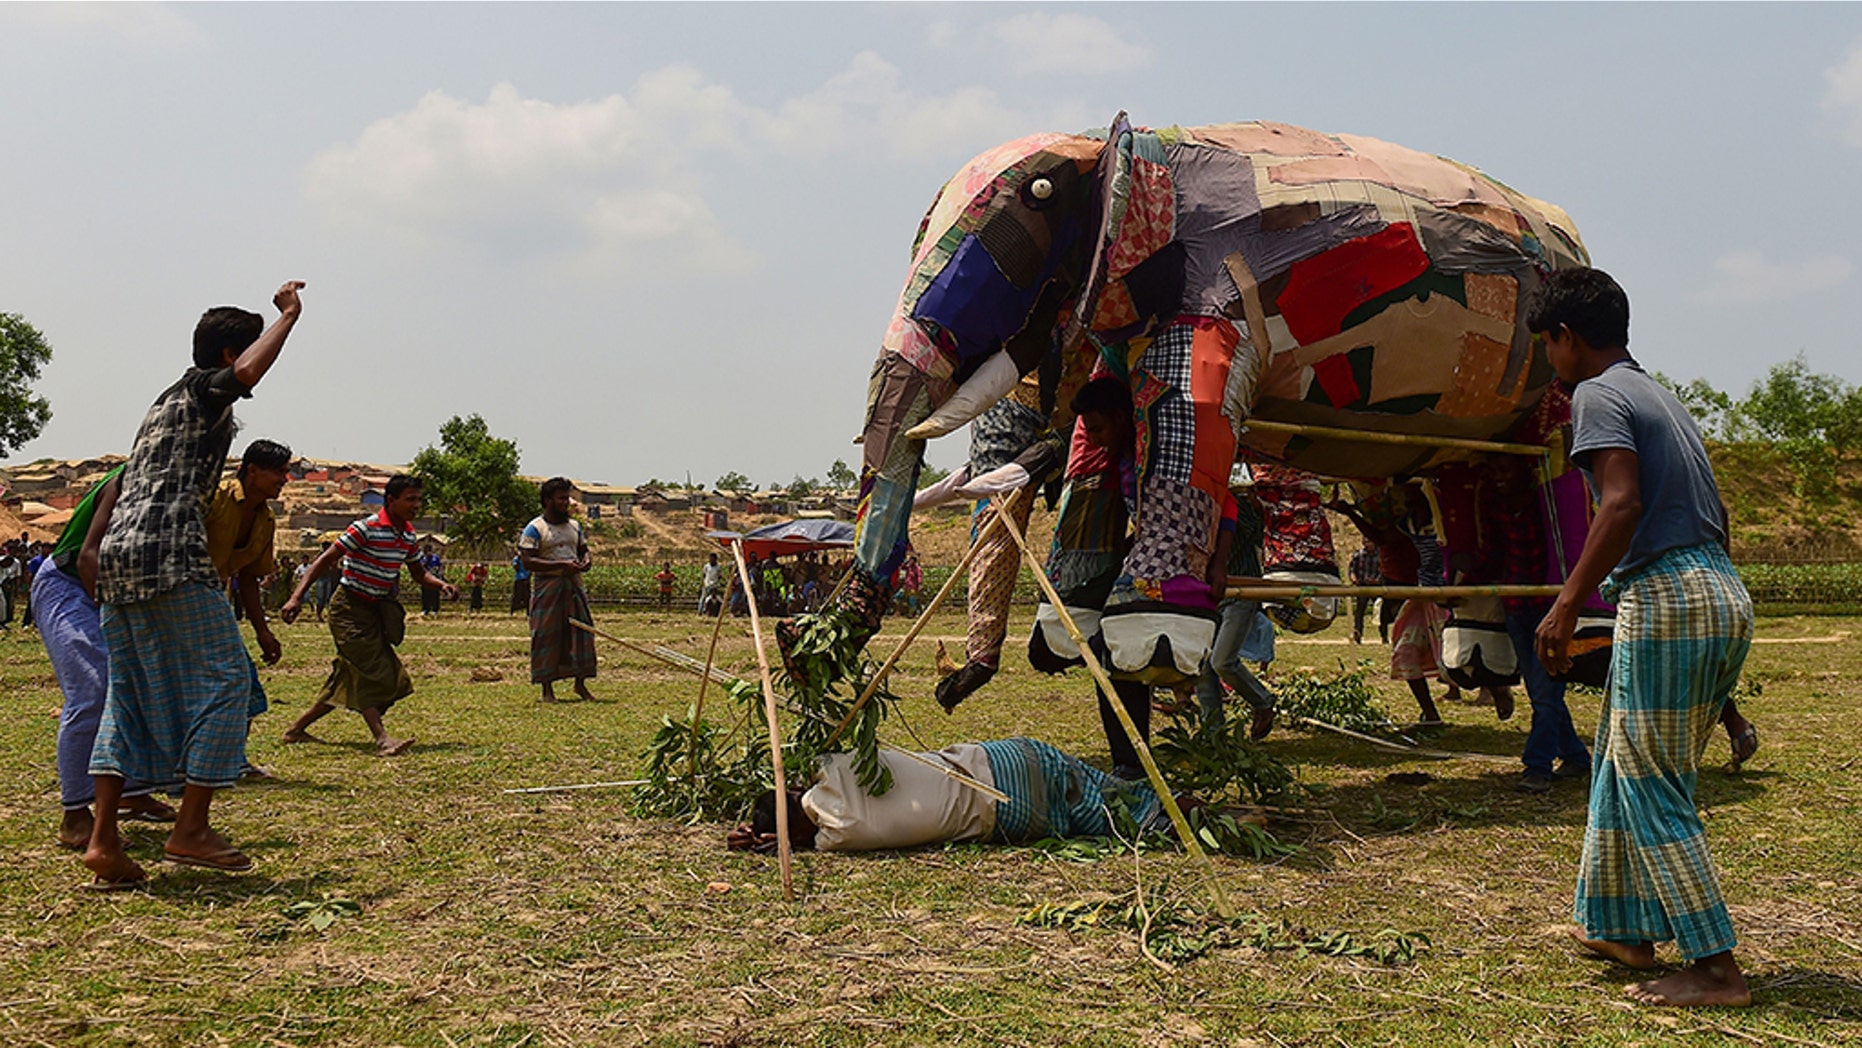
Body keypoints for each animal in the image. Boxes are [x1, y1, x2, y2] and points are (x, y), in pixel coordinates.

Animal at [787, 114, 1588, 701]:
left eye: (1039, 195)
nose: (803, 652)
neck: (1127, 139)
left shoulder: (1213, 285)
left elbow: (1189, 408)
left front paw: (1152, 640)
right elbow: (1100, 436)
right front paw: (1065, 634)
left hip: (1552, 367)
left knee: (1552, 462)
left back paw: (1569, 639)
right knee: (1462, 479)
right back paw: (1475, 657)